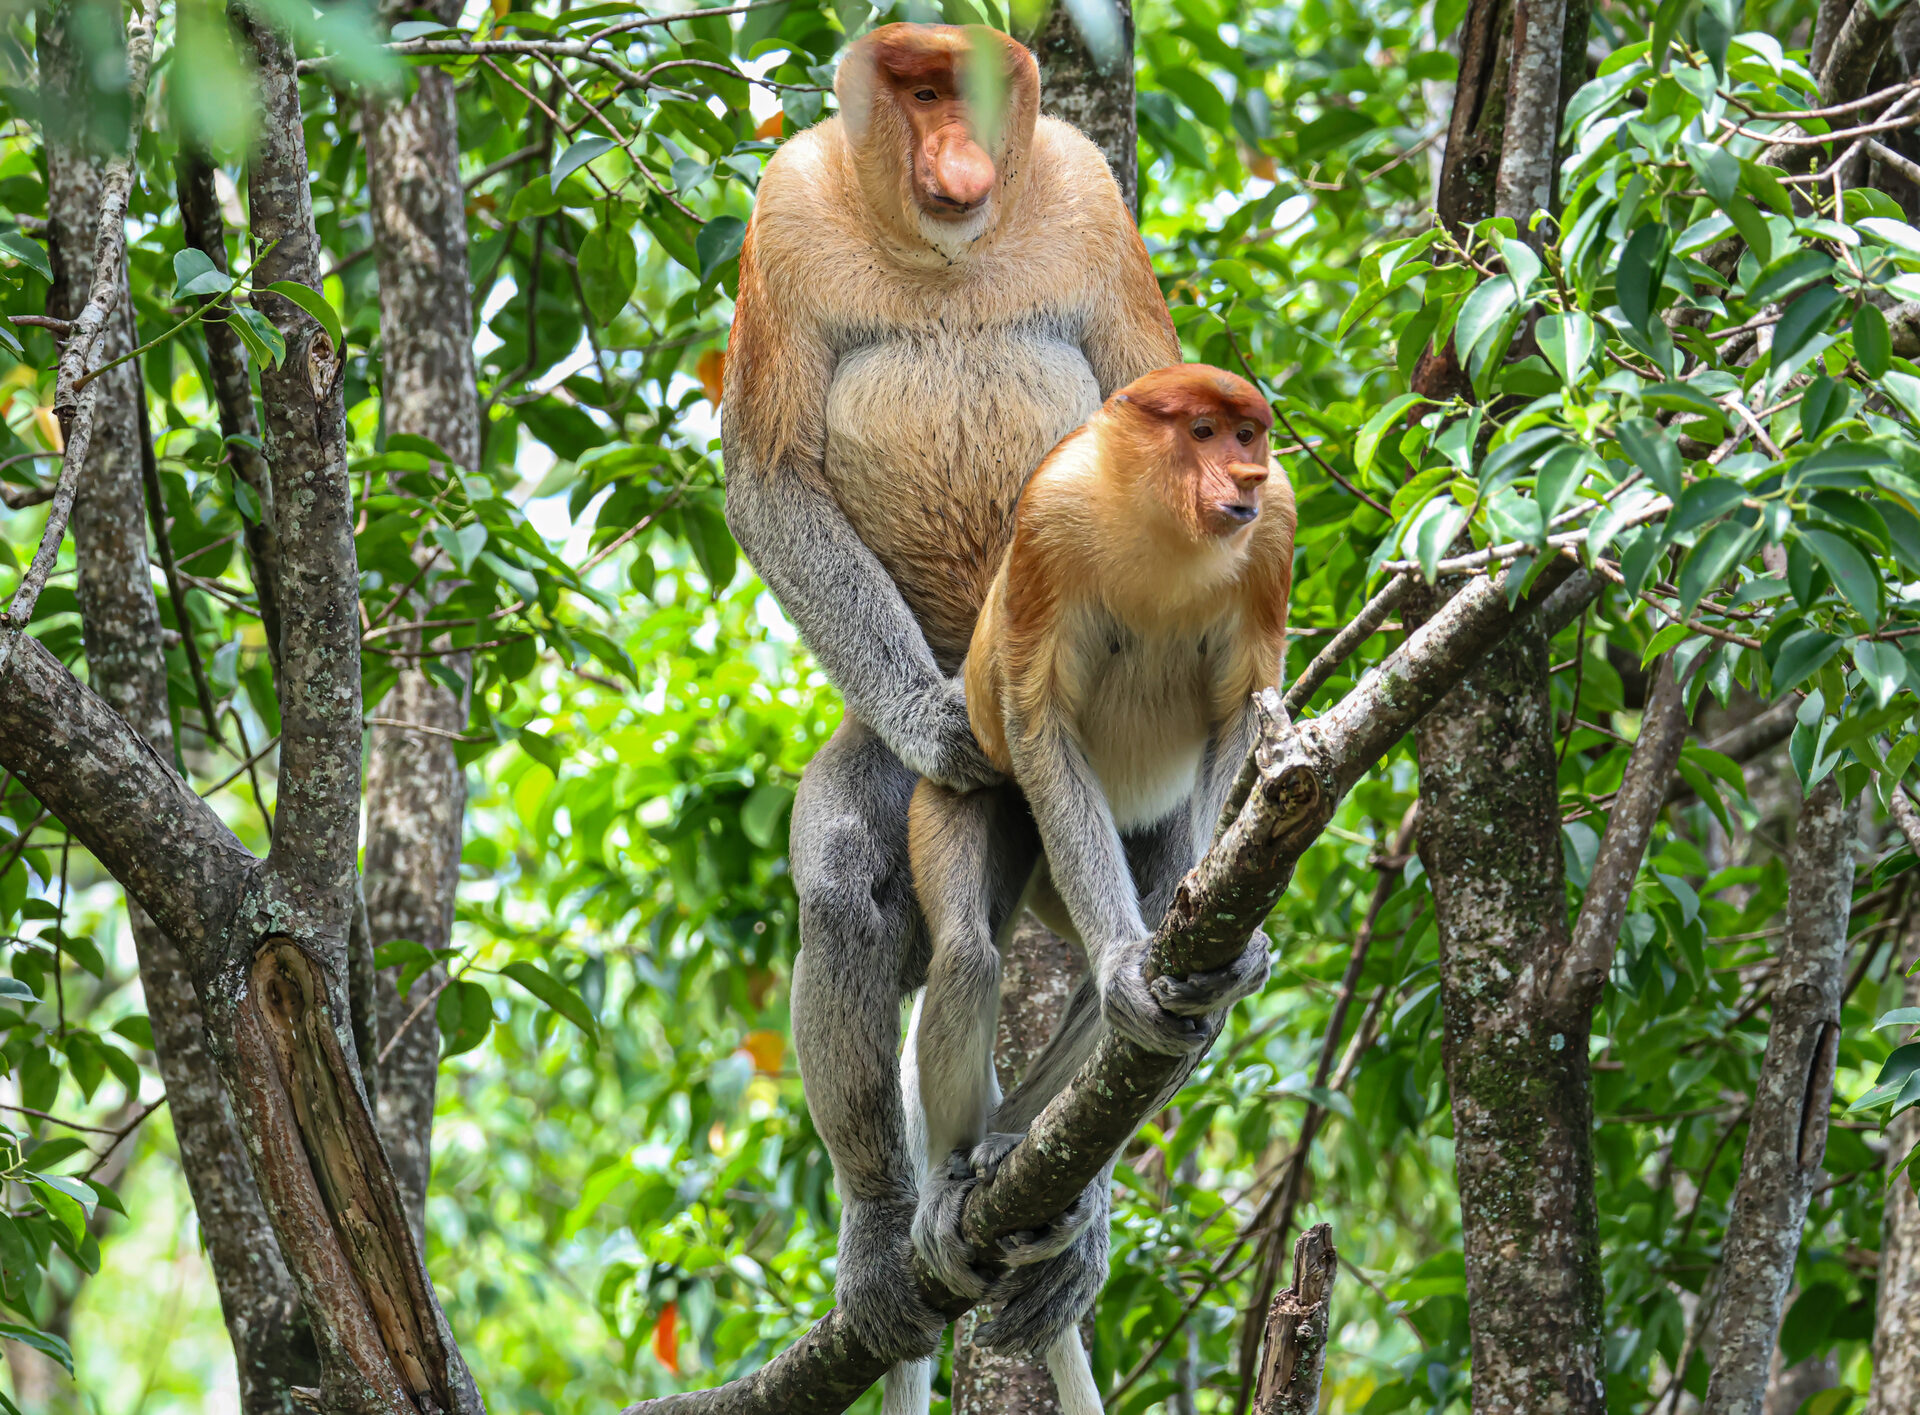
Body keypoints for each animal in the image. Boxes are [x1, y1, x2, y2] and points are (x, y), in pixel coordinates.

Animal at [896, 365, 1295, 1414]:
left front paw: (1209, 952)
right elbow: (1041, 719)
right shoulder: (1047, 524)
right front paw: (1126, 965)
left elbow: (1242, 715)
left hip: (1132, 840)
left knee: (1171, 1001)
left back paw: (1031, 1147)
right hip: (975, 797)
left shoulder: (1272, 535)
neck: (1161, 528)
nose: (1246, 473)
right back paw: (964, 1175)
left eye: (1251, 434)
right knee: (967, 950)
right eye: (1203, 432)